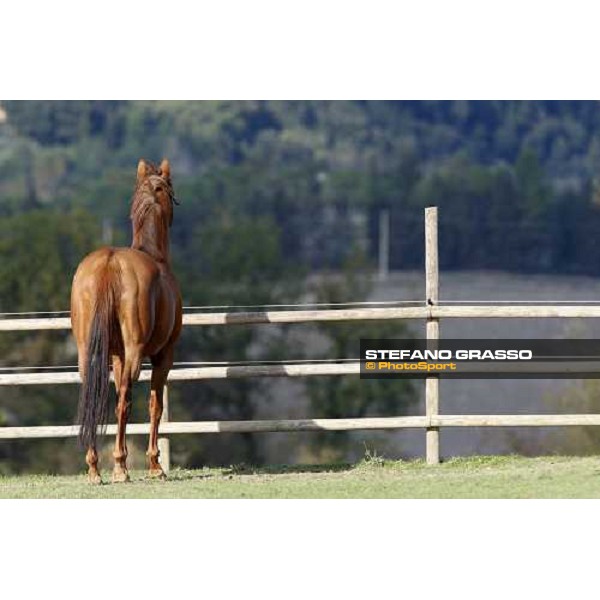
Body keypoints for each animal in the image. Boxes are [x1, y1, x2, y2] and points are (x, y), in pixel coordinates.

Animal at [71, 158, 182, 482]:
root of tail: (109, 262)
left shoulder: (117, 356)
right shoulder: (163, 356)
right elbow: (154, 406)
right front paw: (155, 465)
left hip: (89, 352)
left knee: (92, 396)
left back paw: (94, 467)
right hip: (135, 355)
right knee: (123, 402)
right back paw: (120, 467)